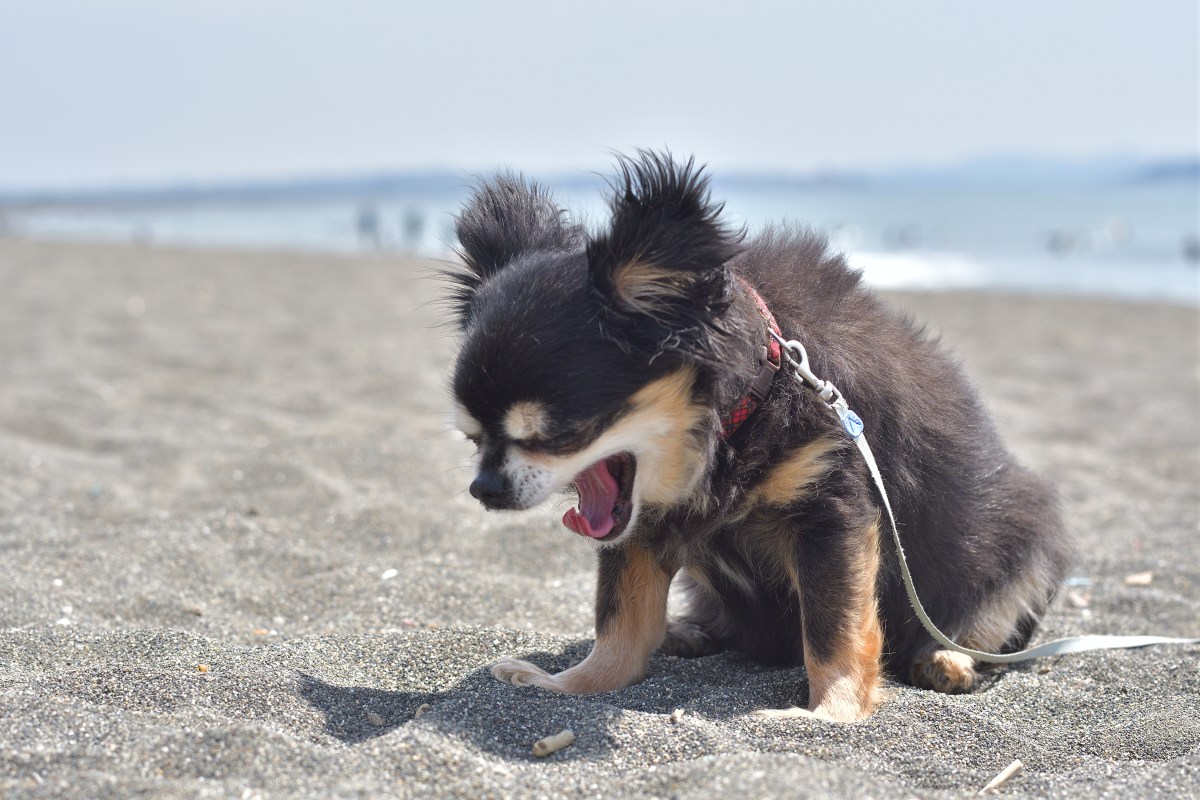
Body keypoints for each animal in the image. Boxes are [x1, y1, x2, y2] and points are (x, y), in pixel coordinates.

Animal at [441, 149, 1070, 719]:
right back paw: (688, 633)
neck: (744, 409)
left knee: (984, 620)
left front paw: (830, 714)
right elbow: (619, 623)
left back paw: (948, 660)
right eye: (473, 437)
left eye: (556, 433)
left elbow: (834, 627)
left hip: (1028, 541)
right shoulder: (640, 524)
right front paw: (567, 686)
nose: (483, 489)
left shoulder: (831, 513)